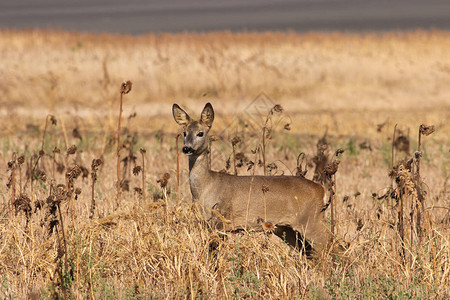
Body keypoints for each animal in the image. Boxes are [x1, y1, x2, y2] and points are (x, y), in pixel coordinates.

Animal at [172, 102, 334, 255]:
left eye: (200, 133)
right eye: (184, 132)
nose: (186, 148)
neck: (207, 186)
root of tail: (322, 190)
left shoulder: (221, 220)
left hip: (311, 220)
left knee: (328, 245)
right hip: (286, 228)